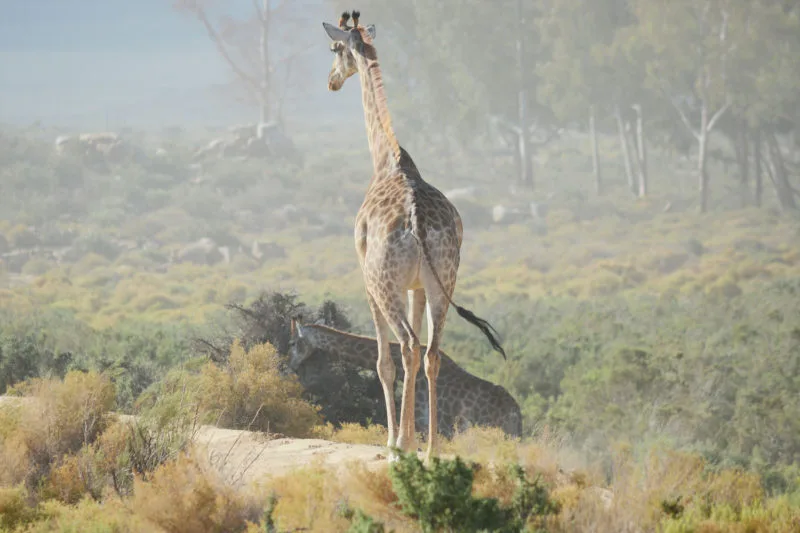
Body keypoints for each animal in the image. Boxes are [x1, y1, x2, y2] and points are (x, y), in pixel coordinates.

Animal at [320, 9, 504, 462]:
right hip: (444, 282)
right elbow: (421, 354)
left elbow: (384, 360)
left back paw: (400, 446)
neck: (388, 160)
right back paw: (433, 448)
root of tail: (417, 222)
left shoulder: (367, 281)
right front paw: (417, 440)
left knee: (404, 347)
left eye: (334, 48)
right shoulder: (417, 286)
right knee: (430, 351)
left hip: (385, 283)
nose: (331, 81)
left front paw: (394, 440)